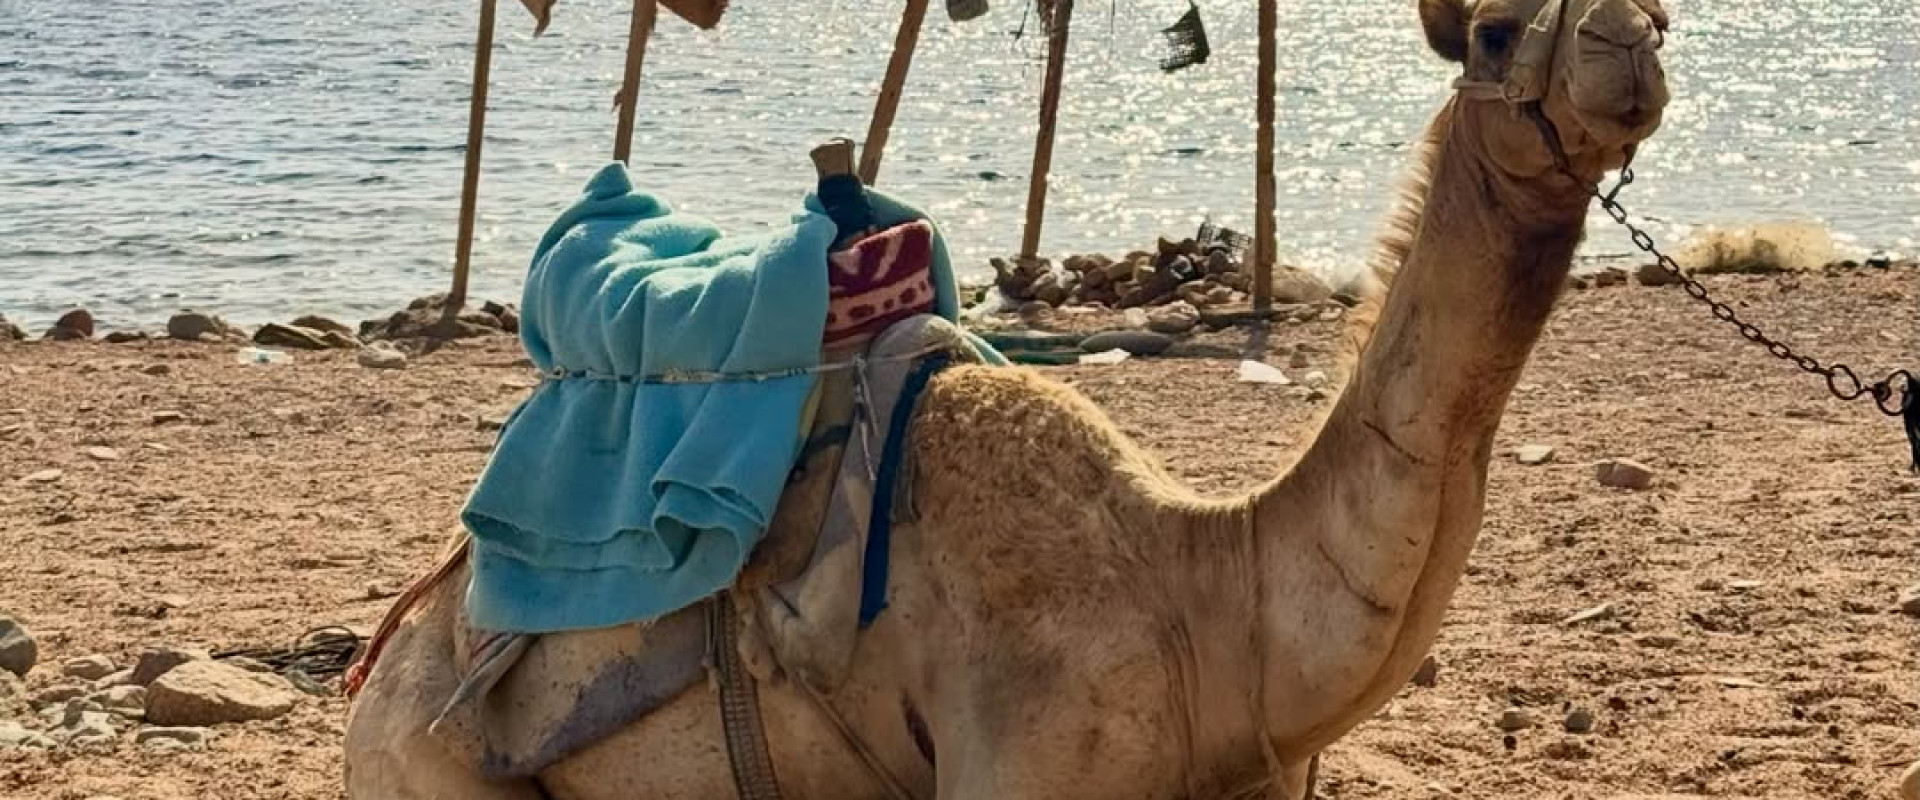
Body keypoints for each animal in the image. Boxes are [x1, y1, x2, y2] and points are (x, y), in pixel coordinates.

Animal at [343, 0, 1672, 796]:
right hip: (427, 762)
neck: (1203, 594)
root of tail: (385, 656)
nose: (1627, 45)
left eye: (1660, 11)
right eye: (1494, 31)